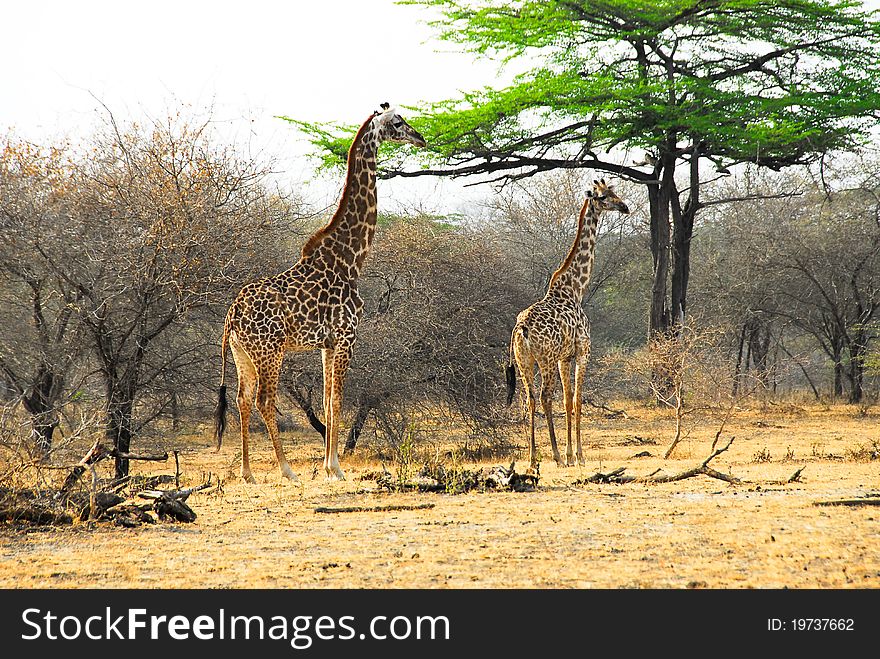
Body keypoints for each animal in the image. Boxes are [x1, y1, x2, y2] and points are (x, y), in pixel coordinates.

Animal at [213, 104, 426, 484]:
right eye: (398, 122)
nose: (421, 137)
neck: (351, 259)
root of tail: (231, 317)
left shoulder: (327, 343)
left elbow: (327, 402)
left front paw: (329, 465)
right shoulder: (346, 336)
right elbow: (337, 401)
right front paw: (335, 469)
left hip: (242, 356)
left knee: (241, 399)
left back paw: (247, 473)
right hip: (270, 352)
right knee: (264, 400)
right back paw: (286, 471)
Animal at [506, 178, 628, 472]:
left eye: (614, 191)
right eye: (604, 196)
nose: (625, 207)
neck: (575, 289)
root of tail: (521, 329)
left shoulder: (565, 357)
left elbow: (568, 400)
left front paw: (571, 453)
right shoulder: (583, 352)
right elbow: (578, 400)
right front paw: (578, 455)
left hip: (525, 361)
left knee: (529, 399)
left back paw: (532, 458)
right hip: (545, 360)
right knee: (544, 397)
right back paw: (554, 457)